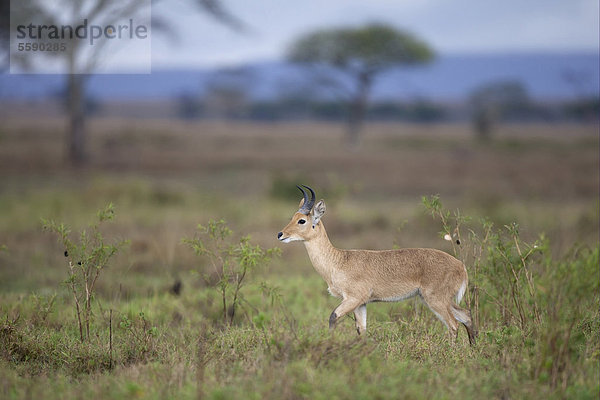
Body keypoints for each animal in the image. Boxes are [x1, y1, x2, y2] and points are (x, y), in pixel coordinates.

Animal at [278, 184, 478, 344]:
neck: (339, 261)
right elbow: (361, 330)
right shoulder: (361, 304)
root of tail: (461, 266)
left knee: (453, 325)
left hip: (436, 299)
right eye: (292, 217)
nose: (280, 234)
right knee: (466, 315)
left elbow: (333, 317)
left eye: (302, 220)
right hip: (439, 300)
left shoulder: (353, 299)